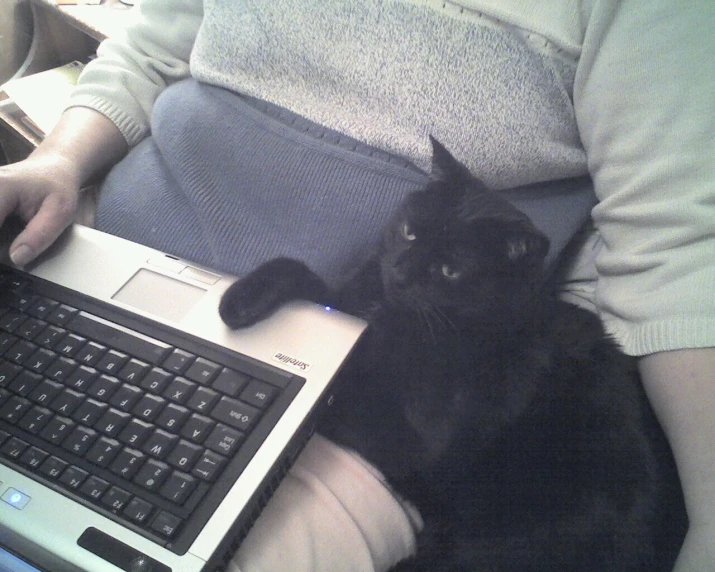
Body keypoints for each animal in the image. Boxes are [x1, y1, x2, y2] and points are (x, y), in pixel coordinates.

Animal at [220, 139, 688, 572]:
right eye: (410, 232)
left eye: (450, 271)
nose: (400, 273)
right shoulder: (347, 304)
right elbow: (303, 275)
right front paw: (240, 301)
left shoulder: (415, 439)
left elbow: (339, 395)